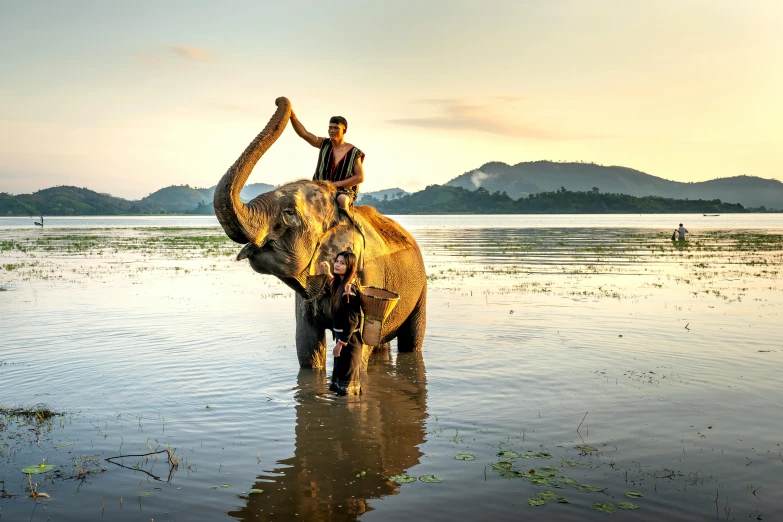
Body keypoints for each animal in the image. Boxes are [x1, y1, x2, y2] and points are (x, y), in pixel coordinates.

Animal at [213, 96, 428, 366]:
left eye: (289, 212)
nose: (279, 99)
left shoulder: (369, 275)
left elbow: (356, 345)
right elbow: (307, 347)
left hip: (421, 288)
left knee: (411, 340)